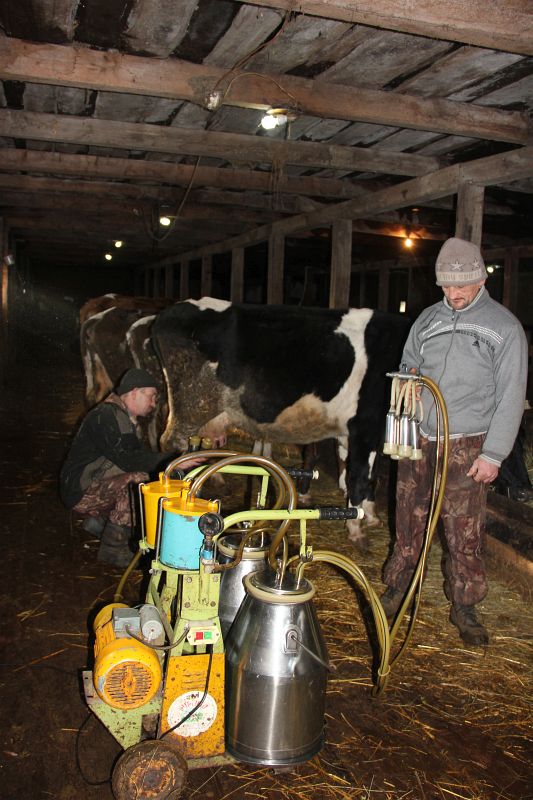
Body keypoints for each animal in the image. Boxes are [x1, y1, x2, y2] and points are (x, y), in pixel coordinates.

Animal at [152, 296, 410, 548]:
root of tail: (172, 310)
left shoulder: (366, 434)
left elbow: (368, 476)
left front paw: (371, 515)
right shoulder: (363, 428)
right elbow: (358, 476)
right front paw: (356, 529)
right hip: (192, 406)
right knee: (174, 446)